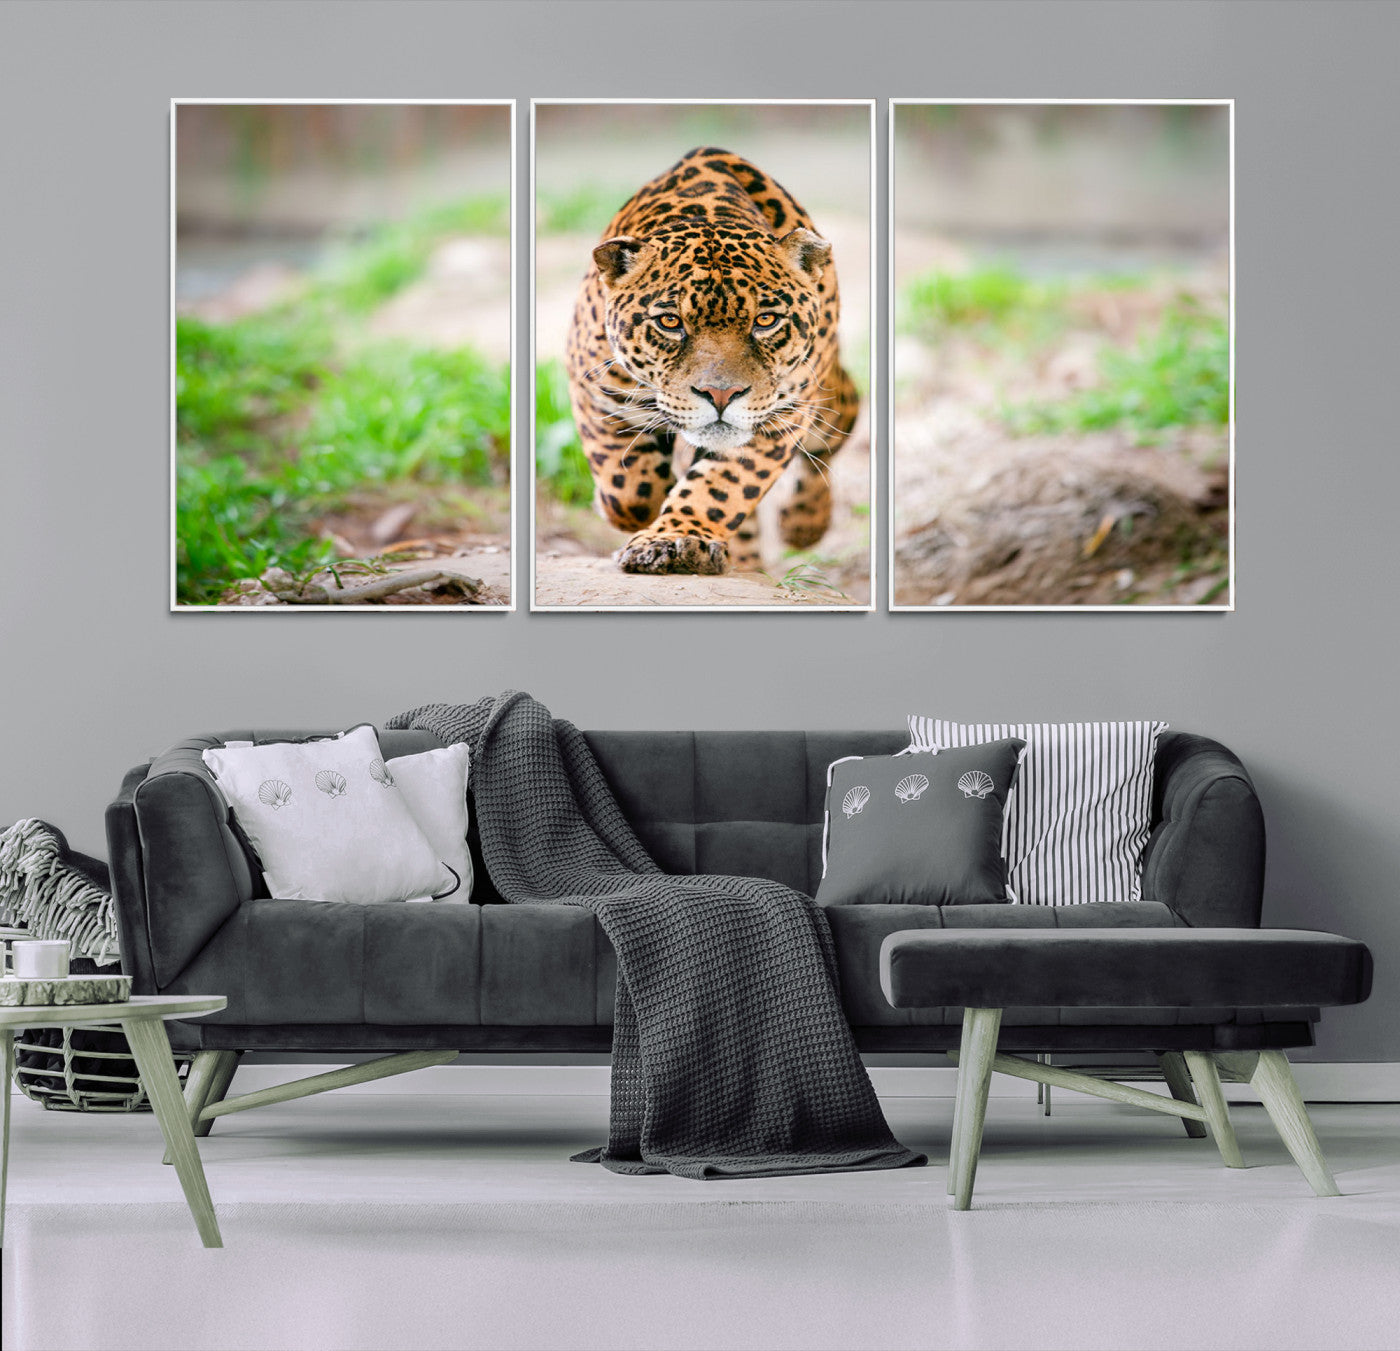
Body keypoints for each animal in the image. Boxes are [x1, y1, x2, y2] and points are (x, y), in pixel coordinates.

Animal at [563, 146, 860, 575]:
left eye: (765, 320)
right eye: (670, 322)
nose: (721, 395)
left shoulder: (780, 417)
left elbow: (723, 486)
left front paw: (675, 539)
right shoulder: (595, 390)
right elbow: (627, 489)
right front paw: (639, 511)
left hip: (825, 397)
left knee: (833, 433)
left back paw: (804, 523)